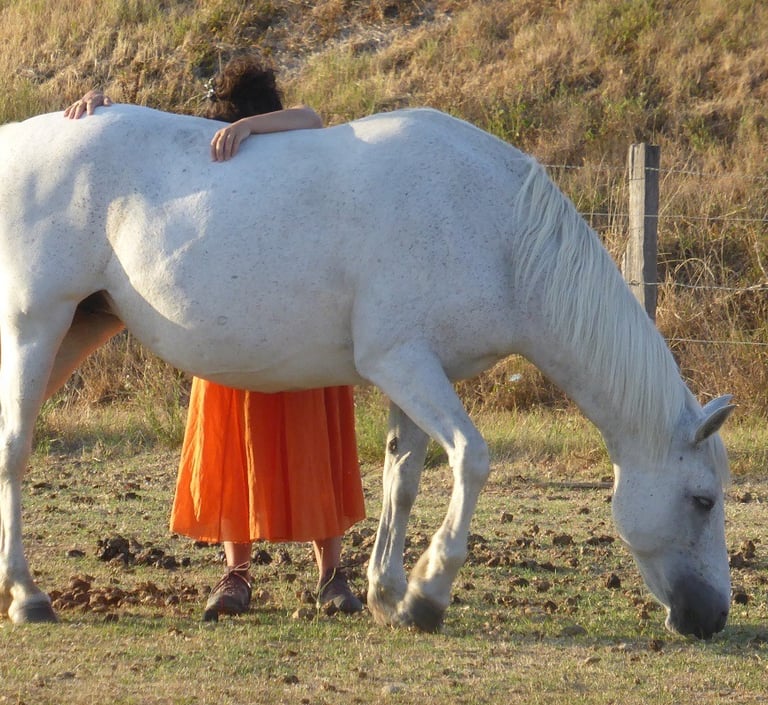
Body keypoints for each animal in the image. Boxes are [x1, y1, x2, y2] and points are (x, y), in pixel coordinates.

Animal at [0, 105, 734, 637]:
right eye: (703, 499)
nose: (712, 617)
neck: (498, 230)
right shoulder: (401, 361)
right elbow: (472, 458)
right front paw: (429, 593)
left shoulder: (415, 372)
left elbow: (400, 480)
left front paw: (388, 593)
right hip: (37, 326)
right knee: (15, 449)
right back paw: (29, 596)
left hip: (79, 327)